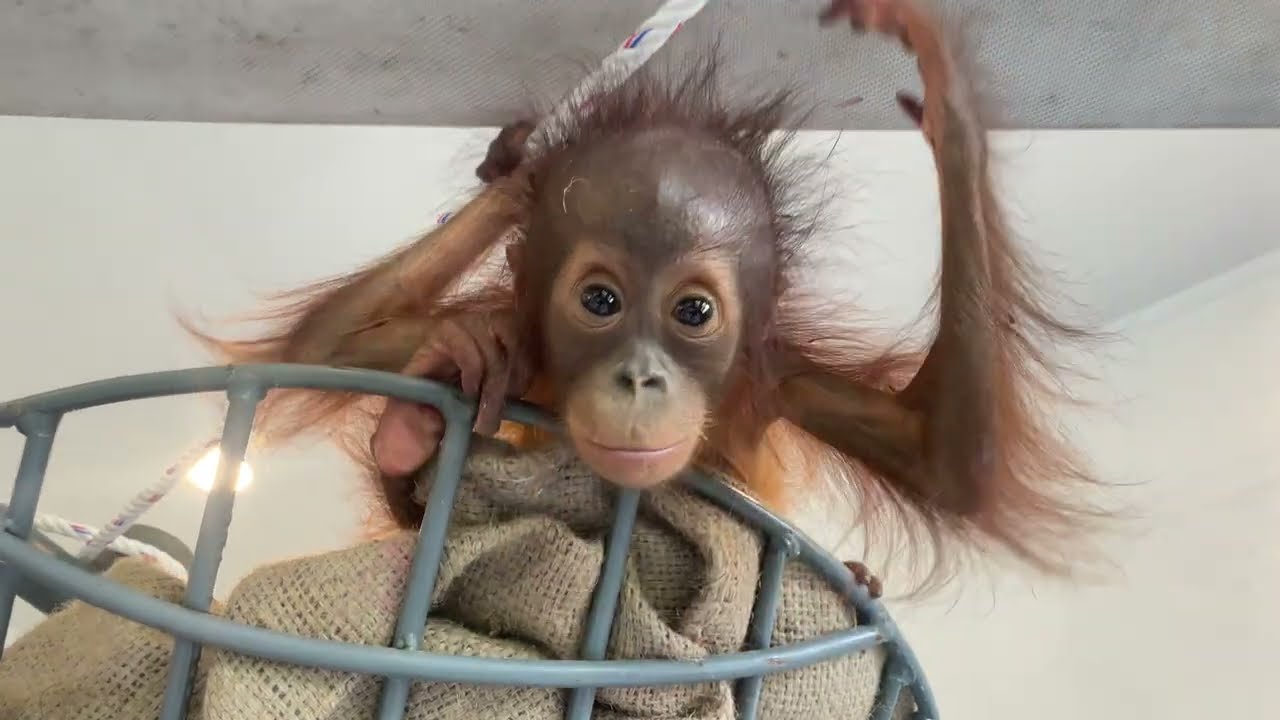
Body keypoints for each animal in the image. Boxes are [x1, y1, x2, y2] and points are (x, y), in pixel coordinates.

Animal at [185, 0, 1107, 597]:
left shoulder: (777, 381)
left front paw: (949, 102)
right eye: (601, 301)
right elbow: (327, 346)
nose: (641, 377)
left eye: (693, 312)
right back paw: (408, 437)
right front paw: (512, 188)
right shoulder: (499, 325)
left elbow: (945, 461)